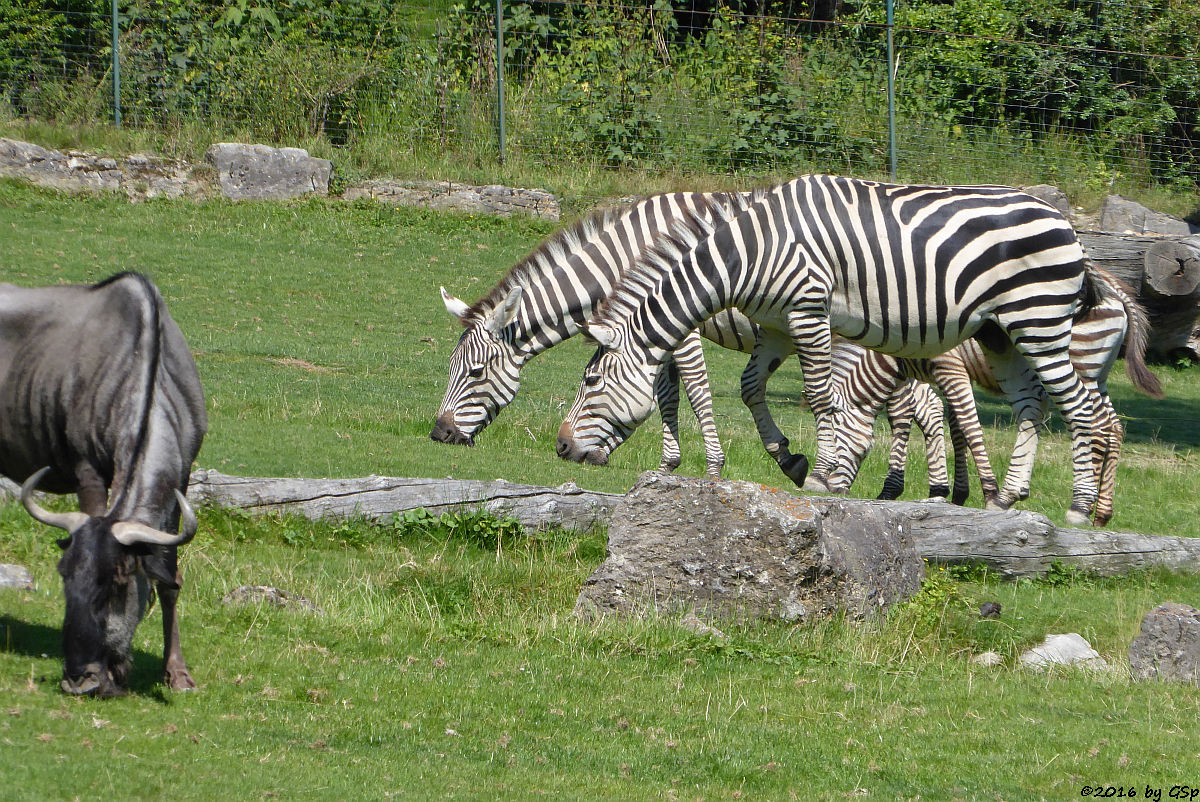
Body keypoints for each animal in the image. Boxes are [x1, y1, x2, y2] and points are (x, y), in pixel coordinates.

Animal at [556, 176, 1108, 525]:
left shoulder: (807, 309)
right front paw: (789, 460)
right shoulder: (776, 324)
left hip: (1038, 319)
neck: (749, 253)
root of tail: (1062, 218)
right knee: (1031, 404)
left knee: (1082, 408)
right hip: (1000, 331)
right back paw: (1008, 497)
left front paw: (820, 475)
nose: (560, 447)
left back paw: (1081, 508)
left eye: (591, 382)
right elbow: (750, 387)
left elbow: (822, 397)